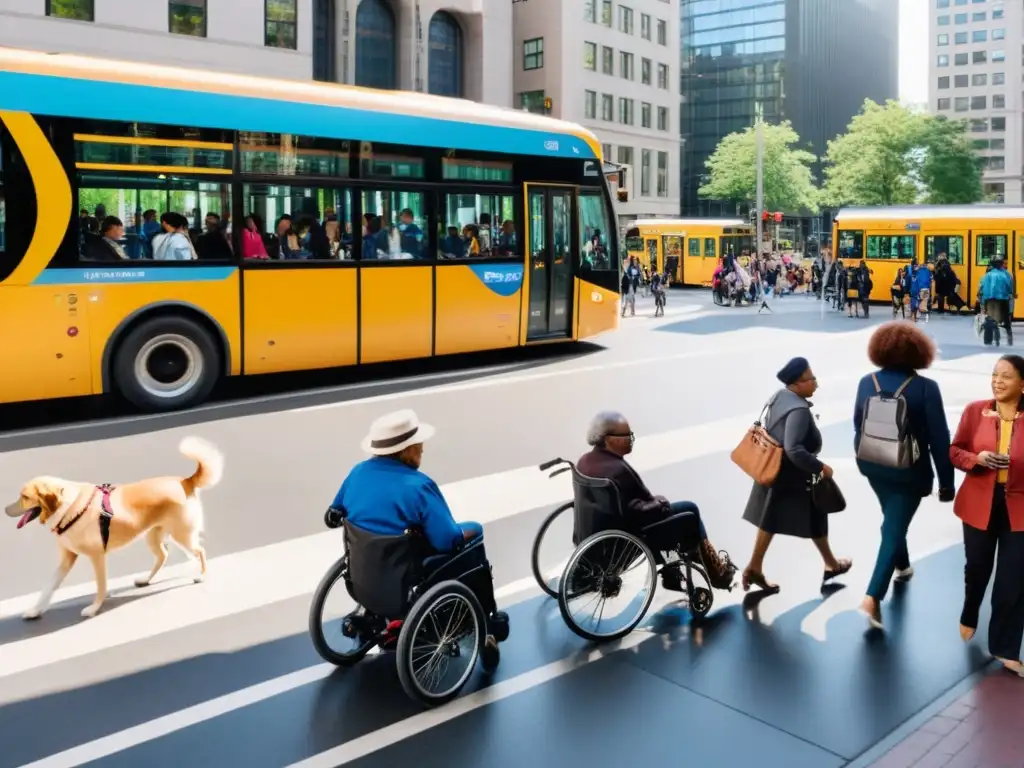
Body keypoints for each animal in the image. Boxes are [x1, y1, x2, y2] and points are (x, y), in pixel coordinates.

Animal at [5, 436, 222, 622]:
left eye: (24, 497)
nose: (5, 509)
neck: (70, 506)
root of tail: (184, 481)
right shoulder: (67, 558)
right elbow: (48, 587)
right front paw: (35, 610)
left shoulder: (97, 557)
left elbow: (101, 586)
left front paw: (94, 608)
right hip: (154, 536)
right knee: (163, 556)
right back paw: (145, 580)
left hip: (182, 535)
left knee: (199, 551)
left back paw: (201, 575)